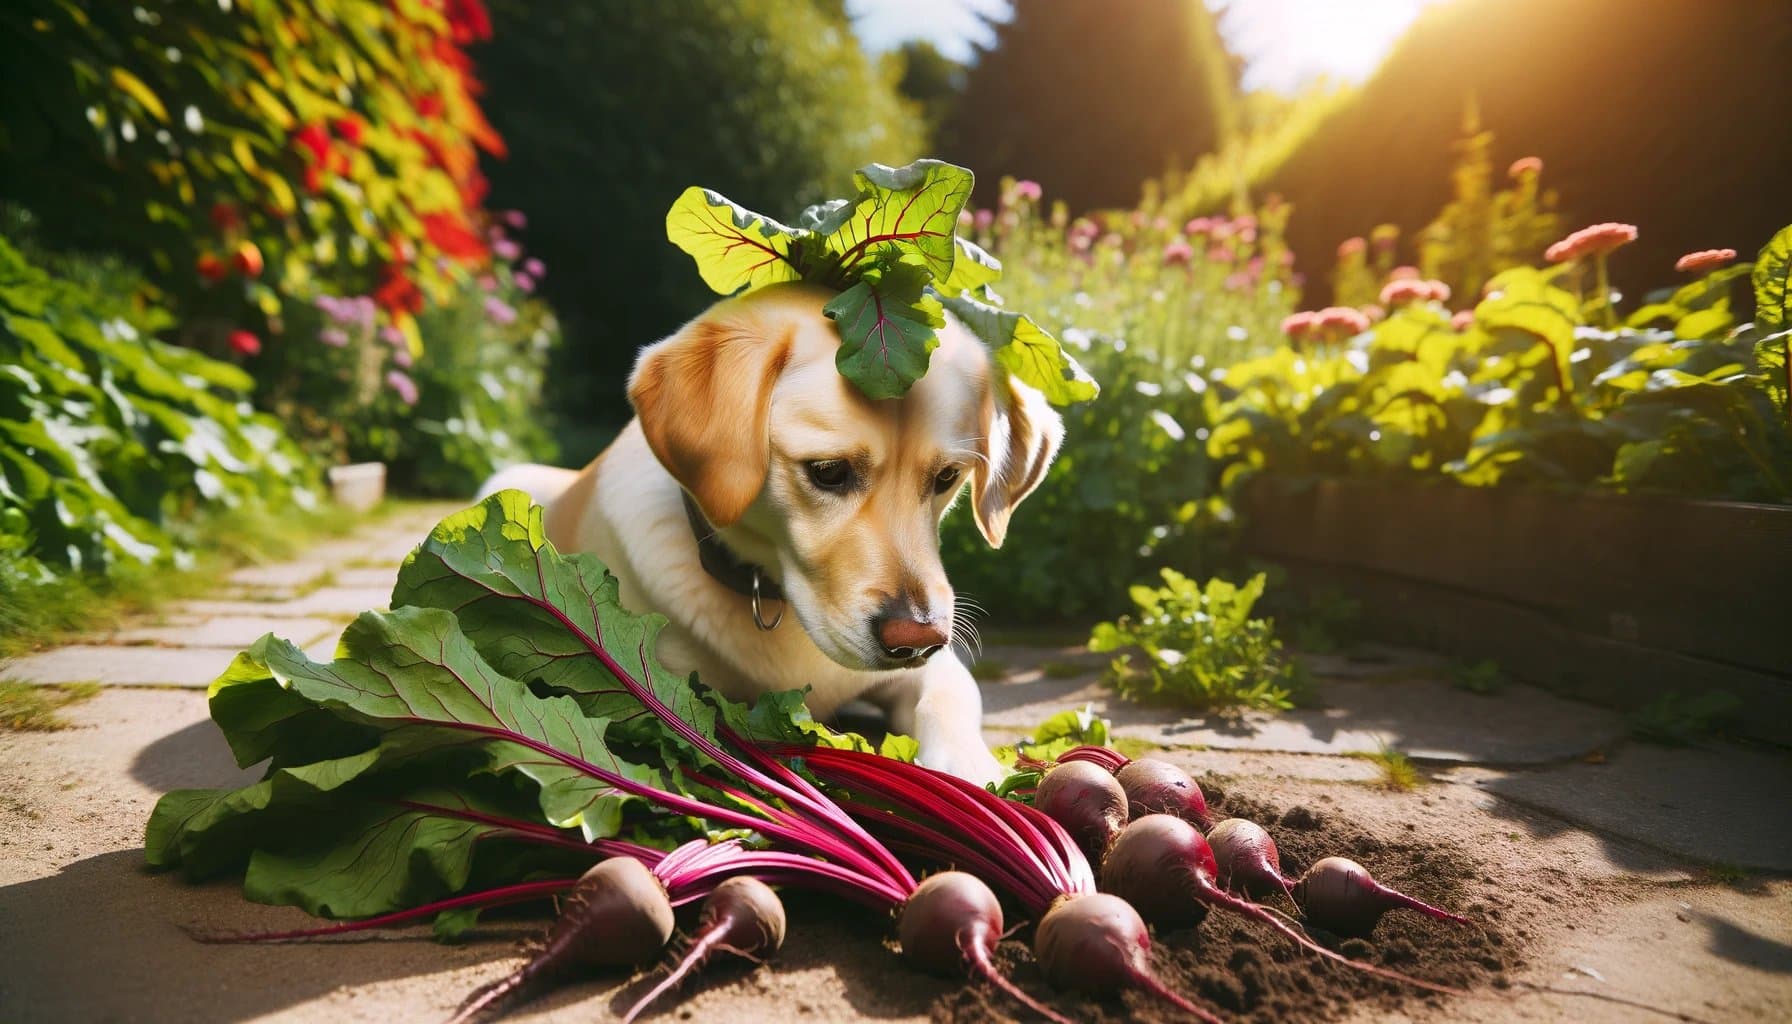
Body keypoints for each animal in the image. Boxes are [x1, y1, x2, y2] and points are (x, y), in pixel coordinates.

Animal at [480, 279, 1060, 785]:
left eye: (946, 478)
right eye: (827, 471)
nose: (917, 639)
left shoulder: (933, 670)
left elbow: (952, 697)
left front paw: (972, 769)